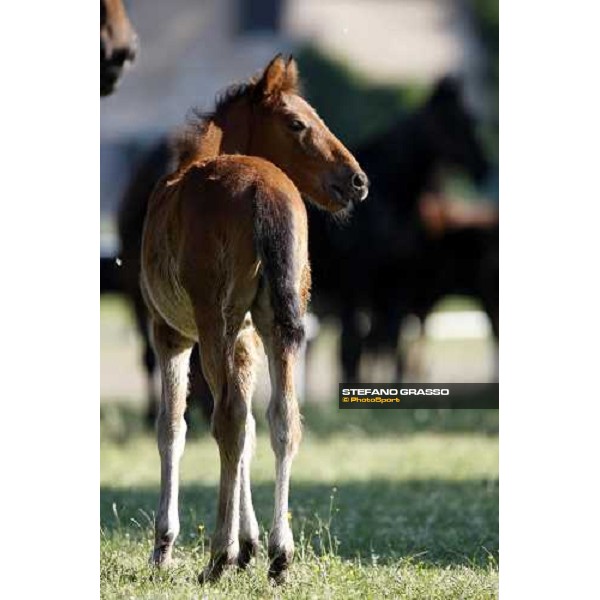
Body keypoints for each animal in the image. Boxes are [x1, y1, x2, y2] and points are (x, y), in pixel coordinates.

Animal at [142, 55, 366, 580]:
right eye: (297, 123)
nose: (357, 181)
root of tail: (264, 189)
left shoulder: (170, 333)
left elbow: (173, 428)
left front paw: (165, 546)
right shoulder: (247, 340)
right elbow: (250, 432)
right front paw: (252, 545)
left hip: (211, 321)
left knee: (225, 418)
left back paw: (217, 557)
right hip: (278, 324)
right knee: (282, 419)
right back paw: (279, 555)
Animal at [310, 76, 496, 380]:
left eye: (471, 120)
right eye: (451, 121)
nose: (483, 167)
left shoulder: (399, 283)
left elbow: (390, 343)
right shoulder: (357, 281)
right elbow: (352, 349)